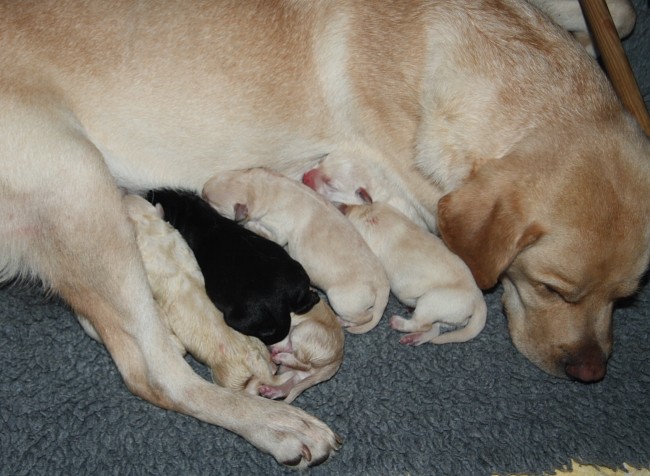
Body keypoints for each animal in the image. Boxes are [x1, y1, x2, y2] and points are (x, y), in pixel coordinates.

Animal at [147, 189, 318, 346]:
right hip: (299, 275)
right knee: (302, 304)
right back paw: (314, 296)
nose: (150, 191)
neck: (195, 214)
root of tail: (279, 304)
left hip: (237, 318)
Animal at [200, 168, 388, 334]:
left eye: (209, 200)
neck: (263, 188)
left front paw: (250, 224)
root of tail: (382, 285)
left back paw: (344, 321)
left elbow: (261, 229)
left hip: (341, 299)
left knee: (364, 316)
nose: (200, 192)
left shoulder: (277, 232)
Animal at [340, 192, 486, 344]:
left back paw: (398, 323)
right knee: (433, 328)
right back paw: (413, 337)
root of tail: (478, 300)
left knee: (422, 324)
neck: (371, 214)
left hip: (431, 301)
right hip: (444, 315)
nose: (342, 206)